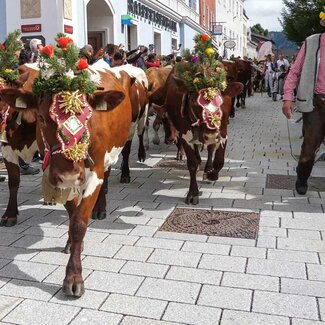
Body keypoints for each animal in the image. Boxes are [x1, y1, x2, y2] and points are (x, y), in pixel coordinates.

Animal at [153, 68, 242, 204]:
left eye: (220, 102)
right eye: (194, 103)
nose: (210, 135)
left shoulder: (222, 132)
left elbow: (219, 161)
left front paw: (211, 174)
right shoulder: (184, 134)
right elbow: (192, 164)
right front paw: (193, 193)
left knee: (210, 149)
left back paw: (208, 168)